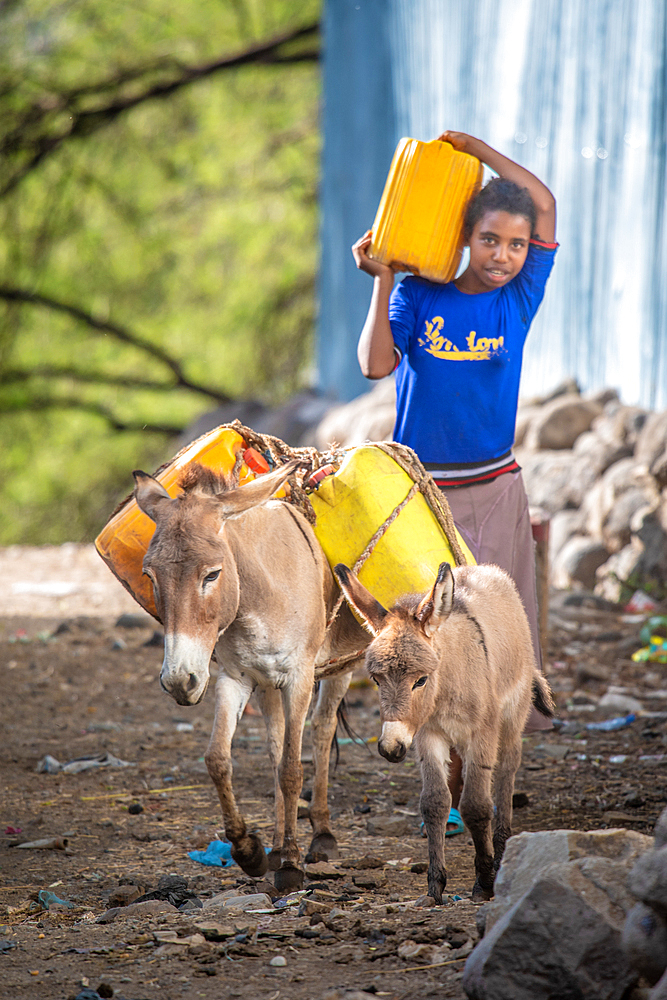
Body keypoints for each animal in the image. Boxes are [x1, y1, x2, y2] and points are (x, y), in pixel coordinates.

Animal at [336, 564, 556, 908]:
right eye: (375, 679)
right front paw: (435, 887)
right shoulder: (427, 736)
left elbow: (477, 806)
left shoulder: (482, 734)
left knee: (506, 772)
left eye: (421, 680)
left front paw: (484, 884)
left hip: (512, 716)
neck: (447, 682)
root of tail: (486, 570)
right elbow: (434, 802)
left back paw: (502, 850)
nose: (390, 748)